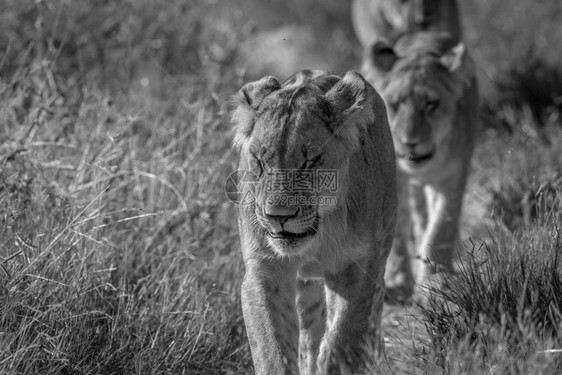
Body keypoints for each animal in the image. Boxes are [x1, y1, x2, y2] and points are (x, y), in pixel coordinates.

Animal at [230, 69, 396, 374]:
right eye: (259, 161)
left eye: (311, 161)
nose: (278, 216)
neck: (320, 231)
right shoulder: (265, 271)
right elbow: (273, 349)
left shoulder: (357, 270)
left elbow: (341, 342)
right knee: (309, 336)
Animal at [364, 33, 476, 302]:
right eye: (395, 104)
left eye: (430, 103)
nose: (409, 142)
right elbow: (394, 233)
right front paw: (397, 280)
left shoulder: (454, 175)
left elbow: (441, 228)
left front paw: (436, 278)